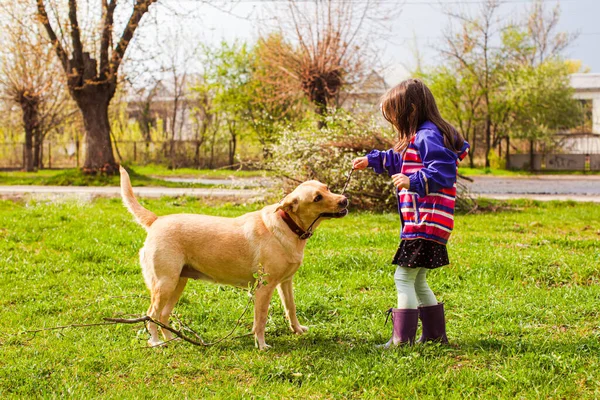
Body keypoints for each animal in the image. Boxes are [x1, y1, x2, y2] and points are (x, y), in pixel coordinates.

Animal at [119, 167, 350, 348]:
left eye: (327, 188)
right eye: (317, 198)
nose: (345, 200)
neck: (288, 225)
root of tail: (156, 220)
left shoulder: (285, 283)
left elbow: (291, 309)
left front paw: (298, 330)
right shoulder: (264, 288)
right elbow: (260, 320)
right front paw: (261, 345)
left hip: (178, 283)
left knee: (163, 316)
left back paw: (171, 340)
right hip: (165, 284)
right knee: (151, 315)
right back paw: (156, 342)